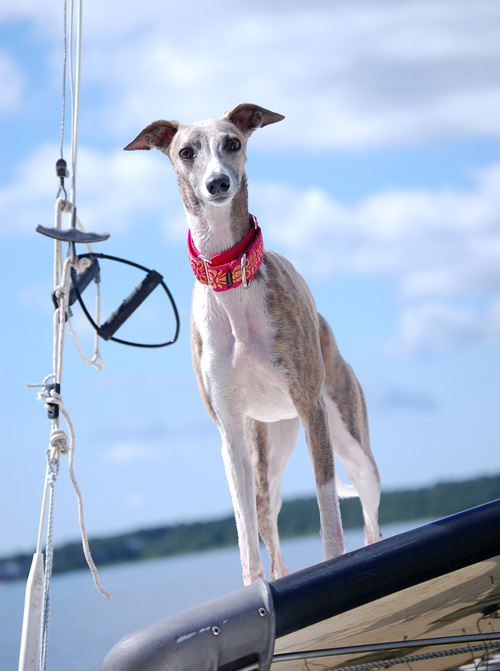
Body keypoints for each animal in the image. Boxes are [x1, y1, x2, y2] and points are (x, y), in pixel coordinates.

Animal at [126, 103, 382, 584]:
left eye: (233, 143)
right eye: (186, 152)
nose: (218, 184)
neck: (230, 276)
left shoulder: (310, 409)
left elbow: (327, 512)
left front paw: (332, 561)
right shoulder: (229, 433)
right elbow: (244, 529)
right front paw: (252, 584)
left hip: (349, 439)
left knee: (370, 516)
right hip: (265, 448)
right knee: (267, 520)